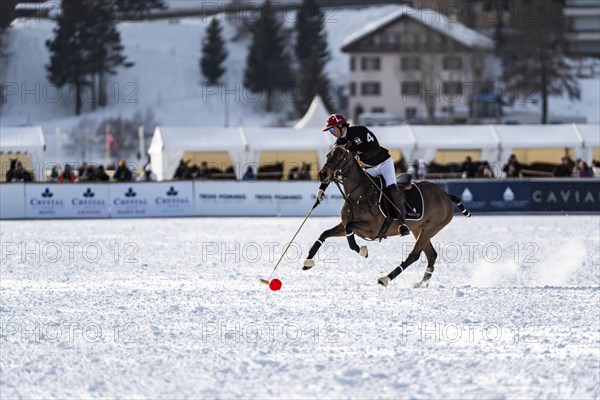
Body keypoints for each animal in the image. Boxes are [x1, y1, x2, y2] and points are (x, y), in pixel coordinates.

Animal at [302, 144, 472, 288]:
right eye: (328, 155)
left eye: (340, 156)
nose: (323, 174)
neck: (357, 195)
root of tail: (445, 194)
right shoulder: (344, 225)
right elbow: (325, 233)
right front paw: (308, 261)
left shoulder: (372, 230)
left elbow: (350, 234)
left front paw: (362, 250)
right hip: (419, 228)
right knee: (431, 255)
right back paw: (421, 283)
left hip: (431, 227)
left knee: (414, 255)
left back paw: (386, 278)